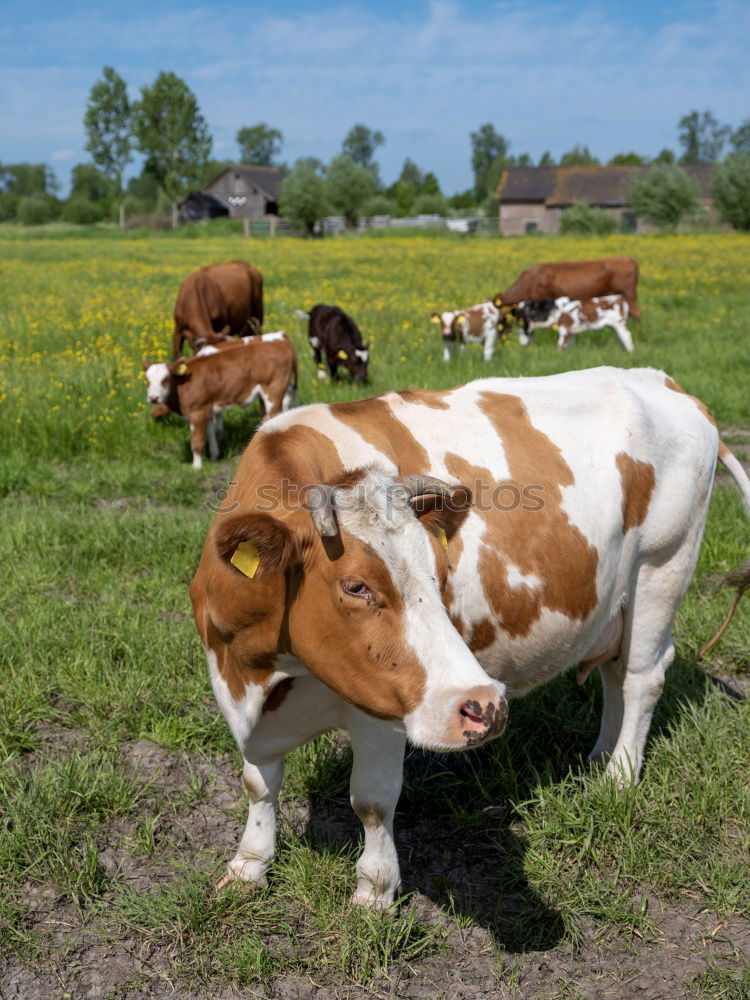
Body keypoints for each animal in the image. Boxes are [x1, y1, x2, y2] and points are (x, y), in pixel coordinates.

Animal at [145, 332, 298, 464]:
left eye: (165, 379)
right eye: (147, 380)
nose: (153, 398)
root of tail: (282, 337)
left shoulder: (197, 411)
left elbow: (197, 440)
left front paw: (197, 466)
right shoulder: (207, 406)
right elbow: (210, 430)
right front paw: (214, 454)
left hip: (274, 388)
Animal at [188, 368, 750, 908]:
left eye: (439, 573)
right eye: (356, 586)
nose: (487, 706)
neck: (266, 674)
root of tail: (666, 384)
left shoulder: (383, 704)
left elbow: (371, 800)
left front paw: (375, 890)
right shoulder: (232, 679)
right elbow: (258, 784)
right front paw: (249, 866)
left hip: (662, 568)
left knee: (641, 677)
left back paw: (619, 776)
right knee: (614, 674)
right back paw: (598, 758)